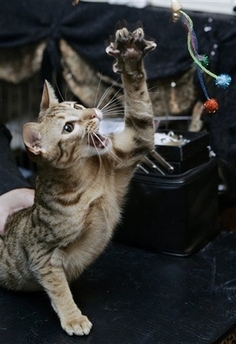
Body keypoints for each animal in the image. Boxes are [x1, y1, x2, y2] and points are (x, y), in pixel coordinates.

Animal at [0, 26, 157, 336]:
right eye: (69, 127)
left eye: (76, 103)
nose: (94, 112)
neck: (85, 178)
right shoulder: (43, 256)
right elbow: (60, 290)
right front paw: (73, 318)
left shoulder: (133, 143)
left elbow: (140, 110)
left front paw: (131, 58)